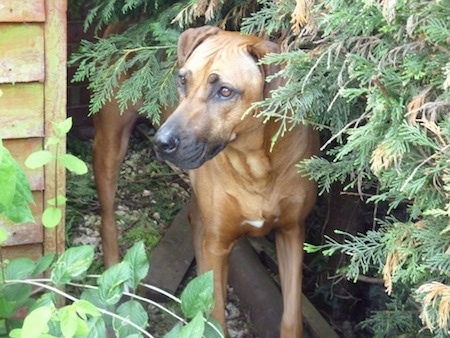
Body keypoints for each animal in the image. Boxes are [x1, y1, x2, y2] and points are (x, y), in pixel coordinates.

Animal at [153, 27, 318, 338]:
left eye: (225, 91)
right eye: (183, 80)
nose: (161, 142)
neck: (257, 168)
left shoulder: (292, 231)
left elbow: (292, 316)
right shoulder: (218, 244)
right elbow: (218, 318)